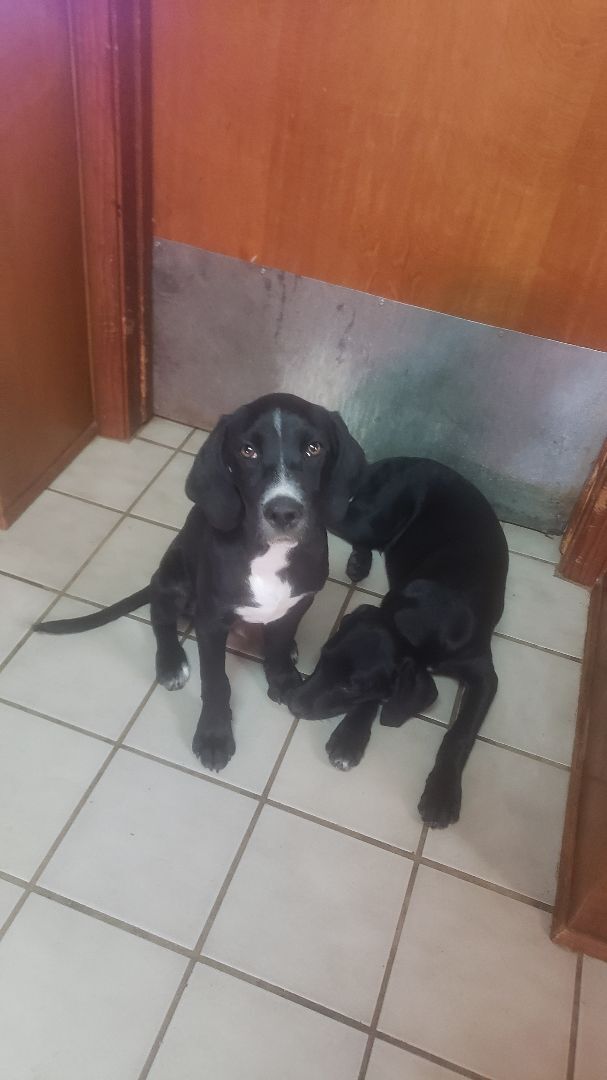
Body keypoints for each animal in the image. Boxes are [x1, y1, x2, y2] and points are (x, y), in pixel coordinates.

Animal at [35, 393, 362, 773]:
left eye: (314, 448)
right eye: (247, 451)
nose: (283, 513)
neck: (270, 555)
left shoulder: (299, 601)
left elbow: (279, 644)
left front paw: (282, 677)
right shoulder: (211, 622)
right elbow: (216, 682)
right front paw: (214, 736)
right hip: (172, 577)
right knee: (160, 617)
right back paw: (170, 663)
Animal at [287, 457, 505, 825]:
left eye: (350, 685)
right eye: (323, 656)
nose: (293, 703)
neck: (426, 617)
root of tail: (397, 459)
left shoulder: (485, 677)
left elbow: (459, 734)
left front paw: (441, 793)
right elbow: (375, 699)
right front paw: (350, 738)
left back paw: (359, 562)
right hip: (370, 521)